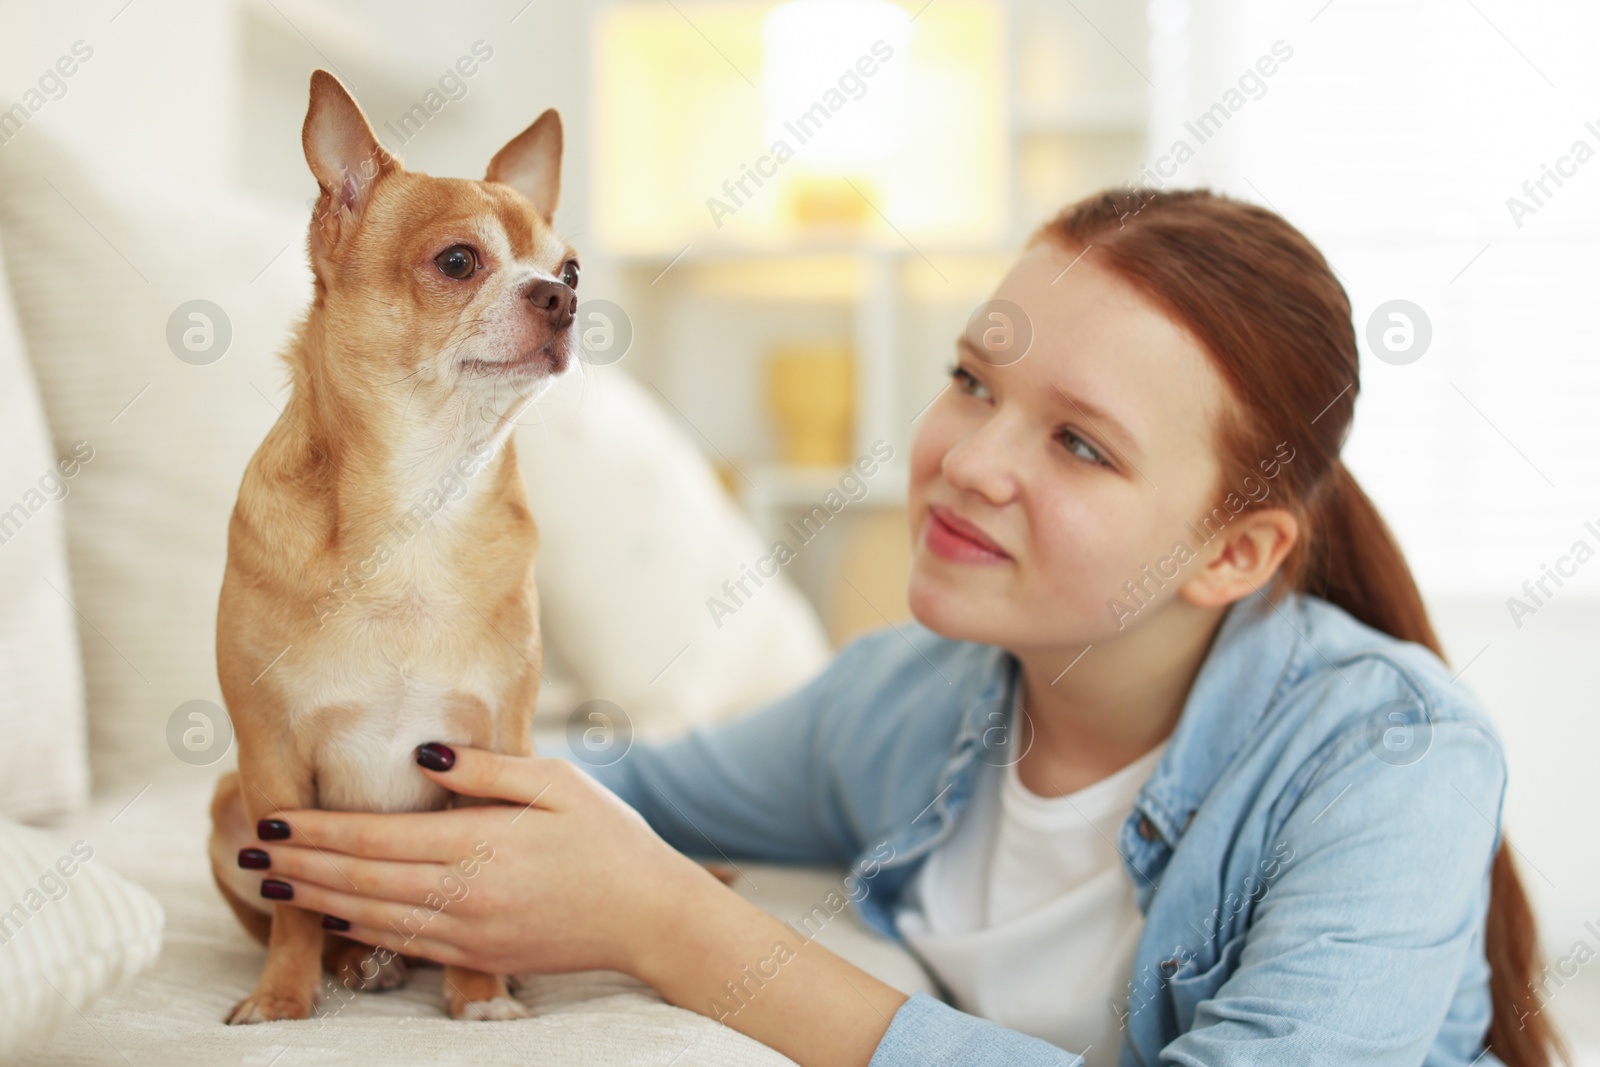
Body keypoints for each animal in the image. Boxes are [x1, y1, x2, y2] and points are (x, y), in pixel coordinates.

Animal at [203, 70, 572, 1023]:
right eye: (458, 261)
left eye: (569, 269)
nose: (564, 300)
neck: (421, 501)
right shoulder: (271, 760)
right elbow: (291, 898)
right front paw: (283, 995)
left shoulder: (493, 748)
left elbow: (473, 873)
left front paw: (480, 995)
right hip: (227, 808)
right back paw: (354, 961)